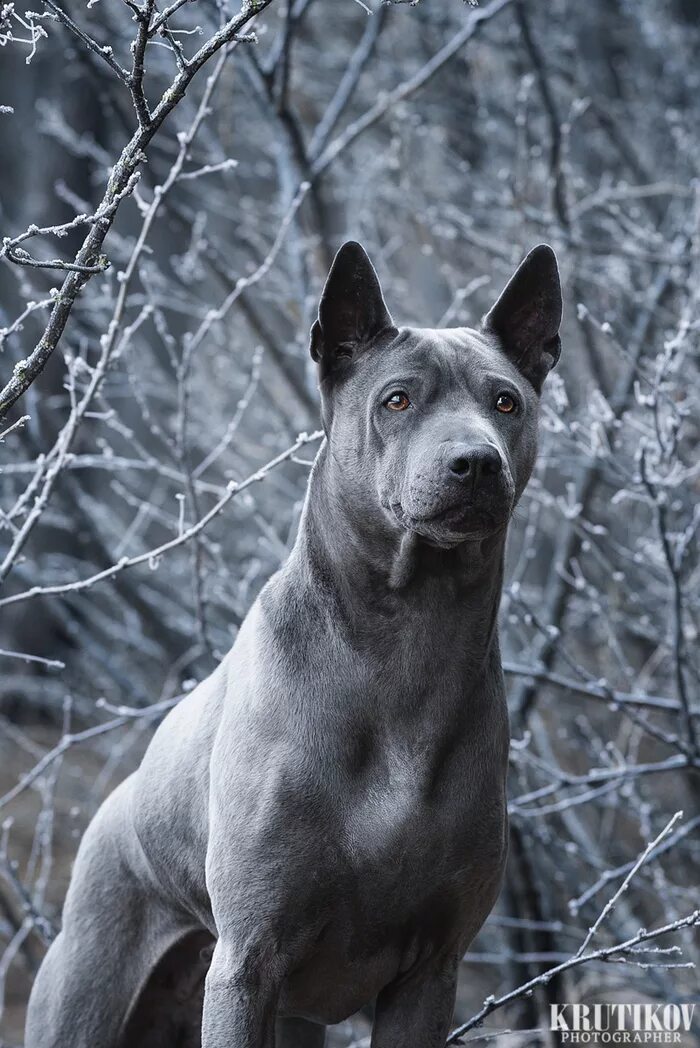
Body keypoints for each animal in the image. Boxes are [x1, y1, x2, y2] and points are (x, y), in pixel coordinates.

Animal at [25, 241, 561, 1048]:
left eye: (506, 403)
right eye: (397, 401)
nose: (476, 462)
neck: (406, 641)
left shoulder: (430, 973)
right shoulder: (249, 961)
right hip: (88, 992)